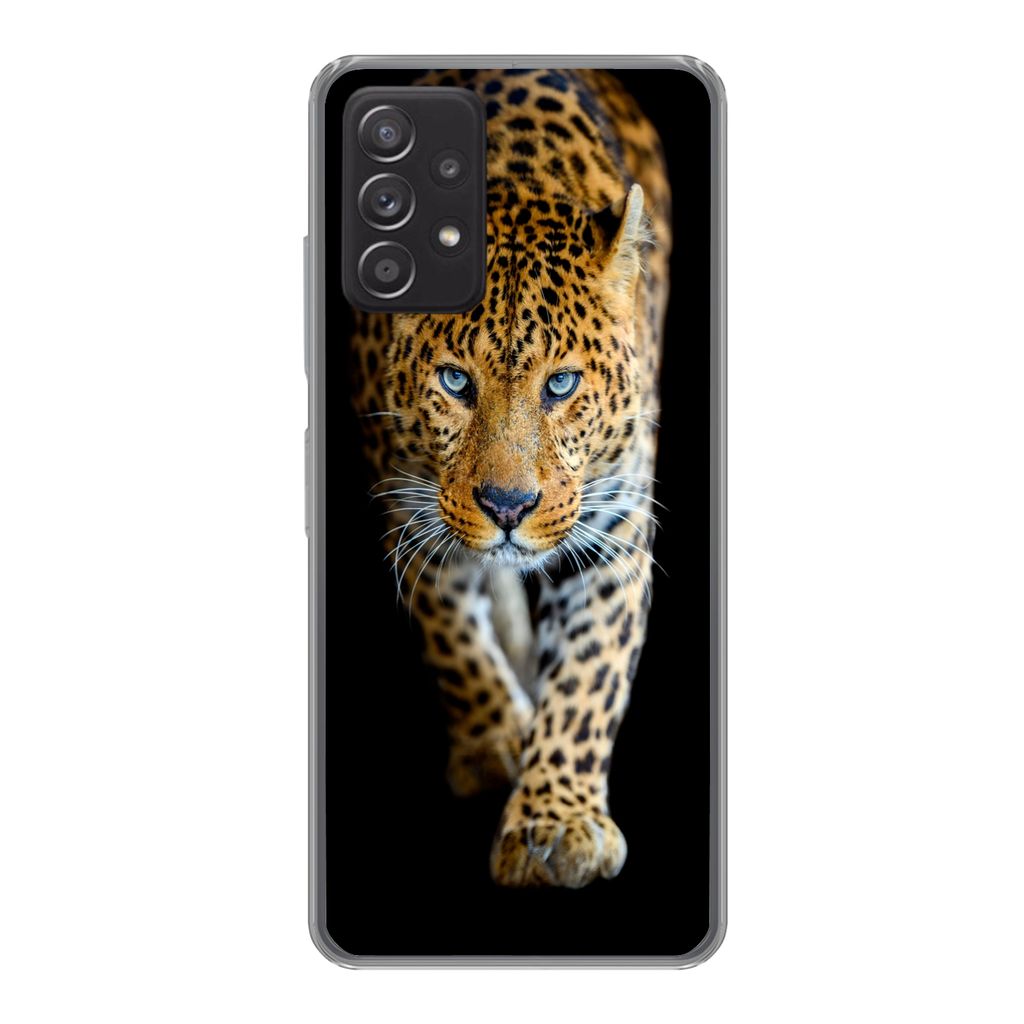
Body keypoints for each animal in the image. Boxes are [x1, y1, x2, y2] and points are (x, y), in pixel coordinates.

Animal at [350, 67, 671, 888]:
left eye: (560, 385)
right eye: (456, 382)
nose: (506, 506)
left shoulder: (616, 528)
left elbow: (590, 676)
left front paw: (556, 821)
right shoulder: (408, 504)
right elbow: (452, 636)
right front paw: (496, 740)